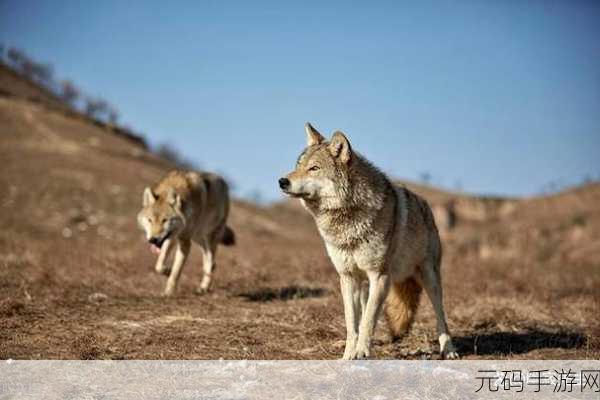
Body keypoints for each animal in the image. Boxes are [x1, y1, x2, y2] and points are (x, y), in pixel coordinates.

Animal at [278, 122, 458, 360]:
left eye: (314, 168)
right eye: (297, 166)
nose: (282, 181)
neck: (348, 218)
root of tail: (426, 204)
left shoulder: (379, 276)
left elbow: (368, 321)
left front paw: (362, 352)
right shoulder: (347, 278)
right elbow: (352, 323)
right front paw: (348, 355)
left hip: (430, 278)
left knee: (441, 317)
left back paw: (449, 350)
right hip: (365, 285)